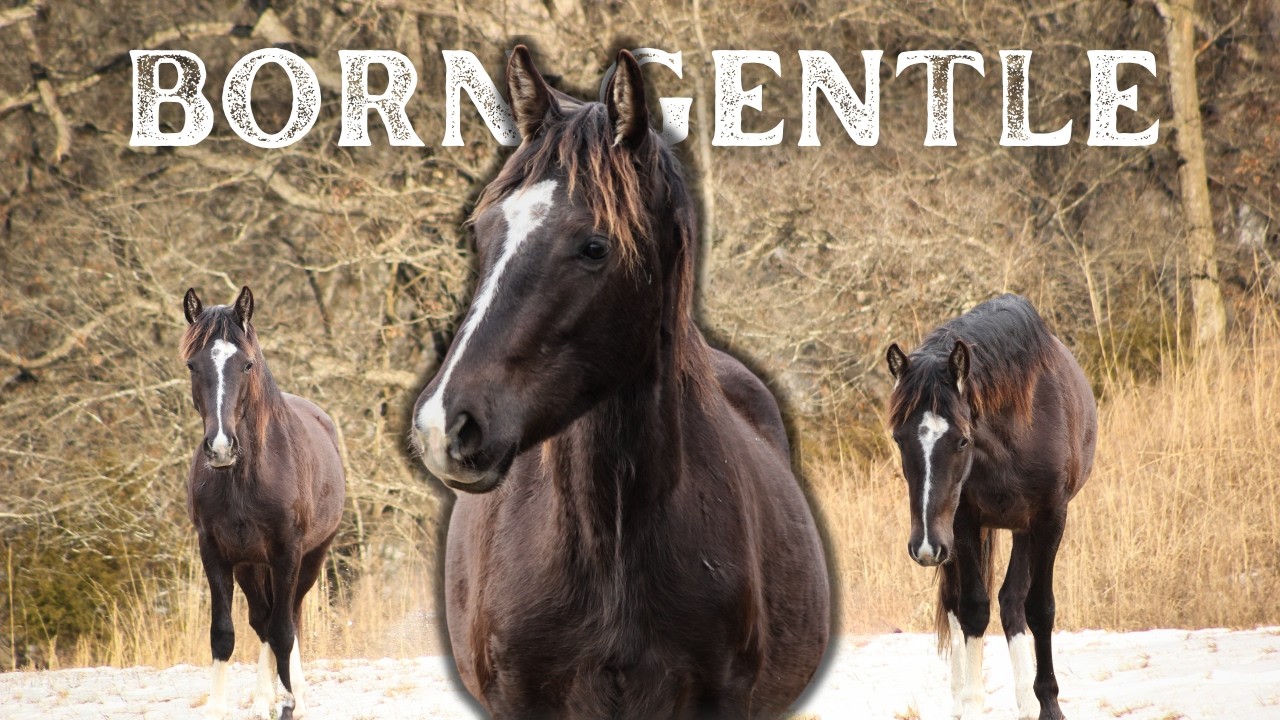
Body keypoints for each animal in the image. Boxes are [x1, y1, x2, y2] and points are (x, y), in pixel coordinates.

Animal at [181, 286, 345, 720]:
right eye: (192, 365)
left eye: (247, 364)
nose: (221, 447)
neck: (245, 478)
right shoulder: (215, 552)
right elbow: (224, 634)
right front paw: (222, 707)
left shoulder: (288, 552)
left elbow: (283, 631)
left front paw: (294, 700)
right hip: (250, 565)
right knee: (263, 619)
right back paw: (262, 699)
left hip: (311, 558)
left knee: (288, 617)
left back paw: (291, 694)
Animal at [884, 294, 1097, 720]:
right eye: (899, 439)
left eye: (962, 440)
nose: (924, 547)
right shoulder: (962, 522)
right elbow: (972, 608)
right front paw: (970, 702)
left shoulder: (1049, 518)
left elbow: (1039, 608)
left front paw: (1048, 703)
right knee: (959, 603)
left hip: (1014, 529)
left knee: (1013, 603)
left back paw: (1028, 701)